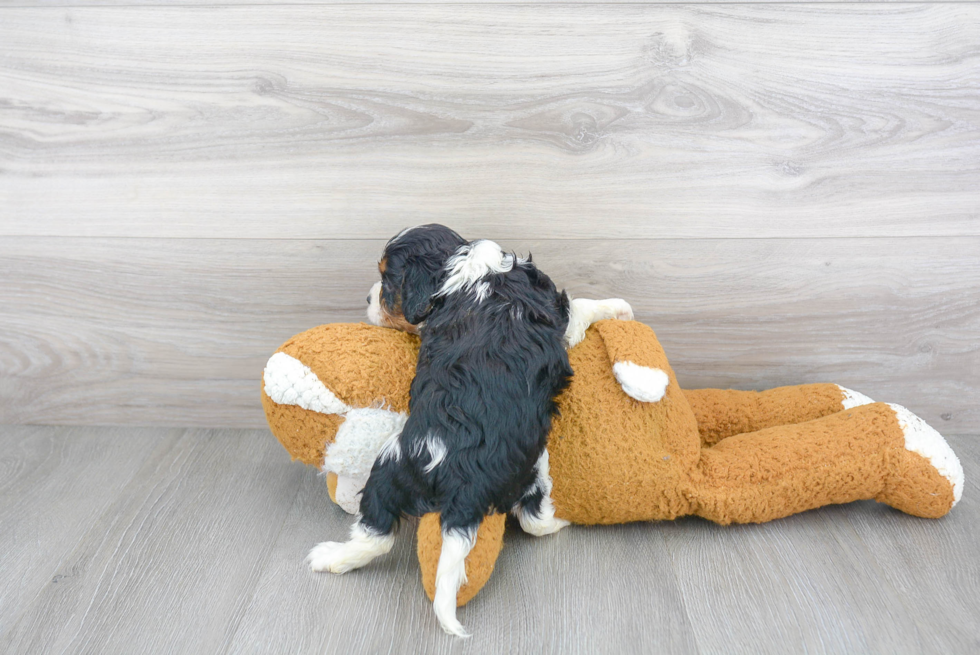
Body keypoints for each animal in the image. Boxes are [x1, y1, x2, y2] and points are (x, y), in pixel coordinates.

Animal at [314, 224, 636, 636]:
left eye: (386, 281)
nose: (368, 297)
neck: (464, 266)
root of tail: (462, 478)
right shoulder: (558, 313)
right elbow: (581, 305)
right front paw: (619, 307)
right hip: (528, 468)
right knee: (533, 518)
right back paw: (561, 518)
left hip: (392, 468)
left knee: (376, 533)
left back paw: (331, 557)